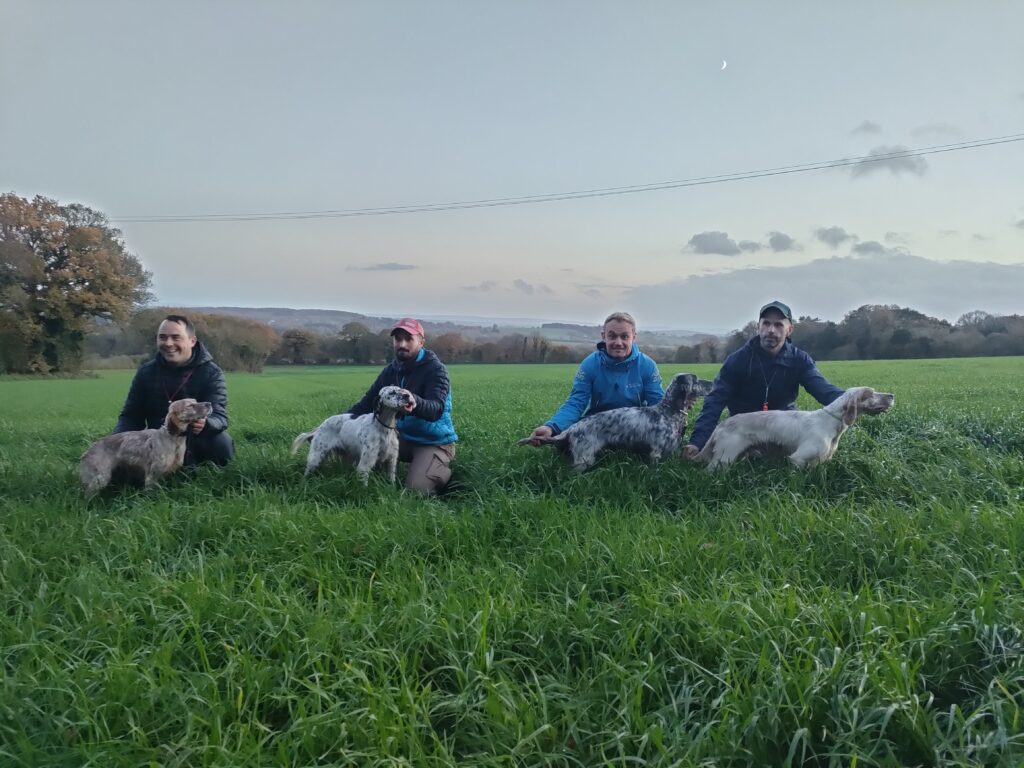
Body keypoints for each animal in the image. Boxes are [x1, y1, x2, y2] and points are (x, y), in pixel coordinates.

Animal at [81, 397, 214, 499]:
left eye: (196, 400)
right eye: (190, 405)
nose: (209, 403)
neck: (173, 439)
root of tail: (88, 450)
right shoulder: (152, 475)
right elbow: (150, 493)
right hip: (100, 478)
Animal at [520, 374, 712, 475]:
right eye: (696, 380)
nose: (712, 382)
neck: (667, 412)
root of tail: (573, 428)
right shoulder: (656, 452)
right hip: (584, 458)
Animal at [700, 385, 892, 468]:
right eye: (870, 393)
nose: (892, 395)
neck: (832, 423)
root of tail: (721, 425)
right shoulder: (798, 458)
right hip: (724, 457)